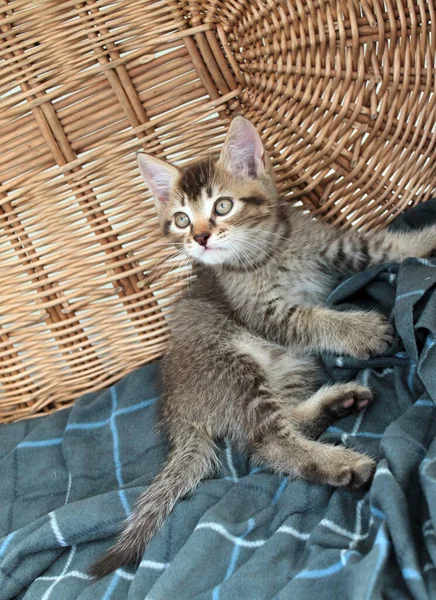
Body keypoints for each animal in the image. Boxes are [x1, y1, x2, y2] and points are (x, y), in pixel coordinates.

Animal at [90, 115, 436, 580]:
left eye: (222, 206)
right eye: (181, 219)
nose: (200, 237)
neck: (270, 250)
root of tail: (176, 410)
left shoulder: (336, 246)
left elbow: (383, 245)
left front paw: (425, 240)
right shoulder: (267, 315)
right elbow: (313, 318)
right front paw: (360, 330)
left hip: (290, 367)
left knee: (281, 422)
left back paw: (337, 402)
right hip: (234, 367)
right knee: (267, 444)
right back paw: (341, 464)